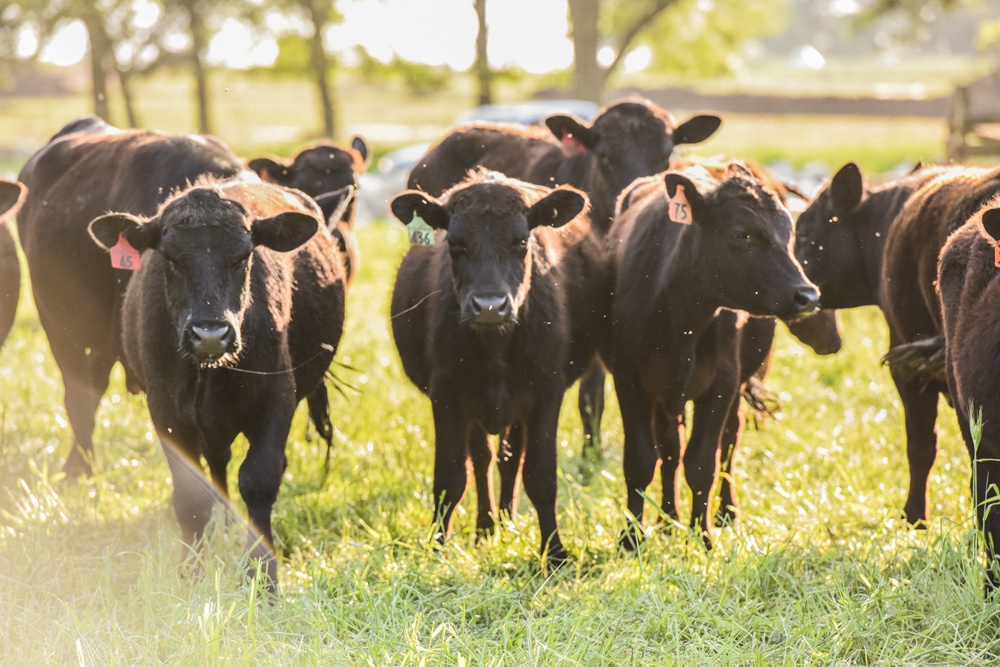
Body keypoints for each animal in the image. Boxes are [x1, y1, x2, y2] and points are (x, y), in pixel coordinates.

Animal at [388, 171, 608, 564]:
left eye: (521, 241)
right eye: (455, 243)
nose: (489, 306)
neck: (495, 348)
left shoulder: (546, 392)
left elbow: (540, 475)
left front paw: (554, 551)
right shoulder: (447, 395)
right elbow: (450, 477)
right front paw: (437, 546)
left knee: (510, 459)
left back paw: (506, 522)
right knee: (483, 459)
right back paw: (487, 527)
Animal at [604, 163, 816, 548]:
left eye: (789, 232)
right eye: (741, 234)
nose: (807, 295)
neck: (681, 316)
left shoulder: (722, 383)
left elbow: (703, 462)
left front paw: (701, 535)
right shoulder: (628, 379)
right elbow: (641, 460)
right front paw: (631, 537)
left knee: (729, 441)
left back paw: (725, 512)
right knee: (670, 449)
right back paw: (668, 518)